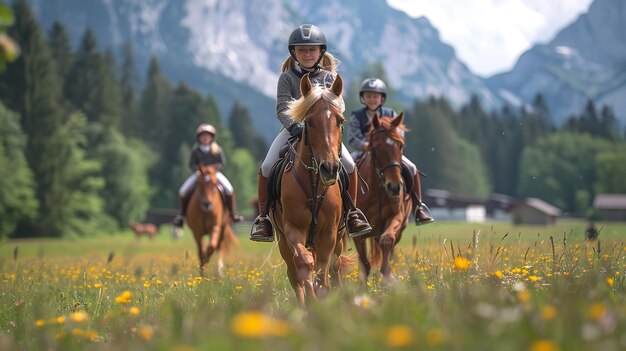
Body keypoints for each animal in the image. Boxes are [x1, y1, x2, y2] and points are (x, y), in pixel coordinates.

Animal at [272, 74, 356, 308]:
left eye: (340, 120)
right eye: (309, 122)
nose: (330, 168)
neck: (314, 185)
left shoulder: (329, 235)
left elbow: (324, 273)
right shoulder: (293, 230)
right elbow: (304, 265)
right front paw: (312, 301)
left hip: (339, 238)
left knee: (335, 269)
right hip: (283, 242)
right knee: (295, 274)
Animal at [354, 115, 412, 284]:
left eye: (400, 145)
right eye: (376, 148)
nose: (394, 186)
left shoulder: (395, 217)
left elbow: (387, 241)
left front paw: (387, 275)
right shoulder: (358, 233)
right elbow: (365, 264)